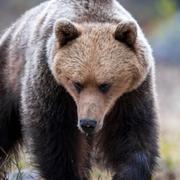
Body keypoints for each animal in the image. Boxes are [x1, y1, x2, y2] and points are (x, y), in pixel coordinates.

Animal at [0, 0, 158, 180]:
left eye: (105, 85)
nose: (88, 123)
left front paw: (128, 173)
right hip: (9, 73)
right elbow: (55, 135)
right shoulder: (50, 83)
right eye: (77, 83)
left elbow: (131, 132)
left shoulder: (132, 93)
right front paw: (67, 172)